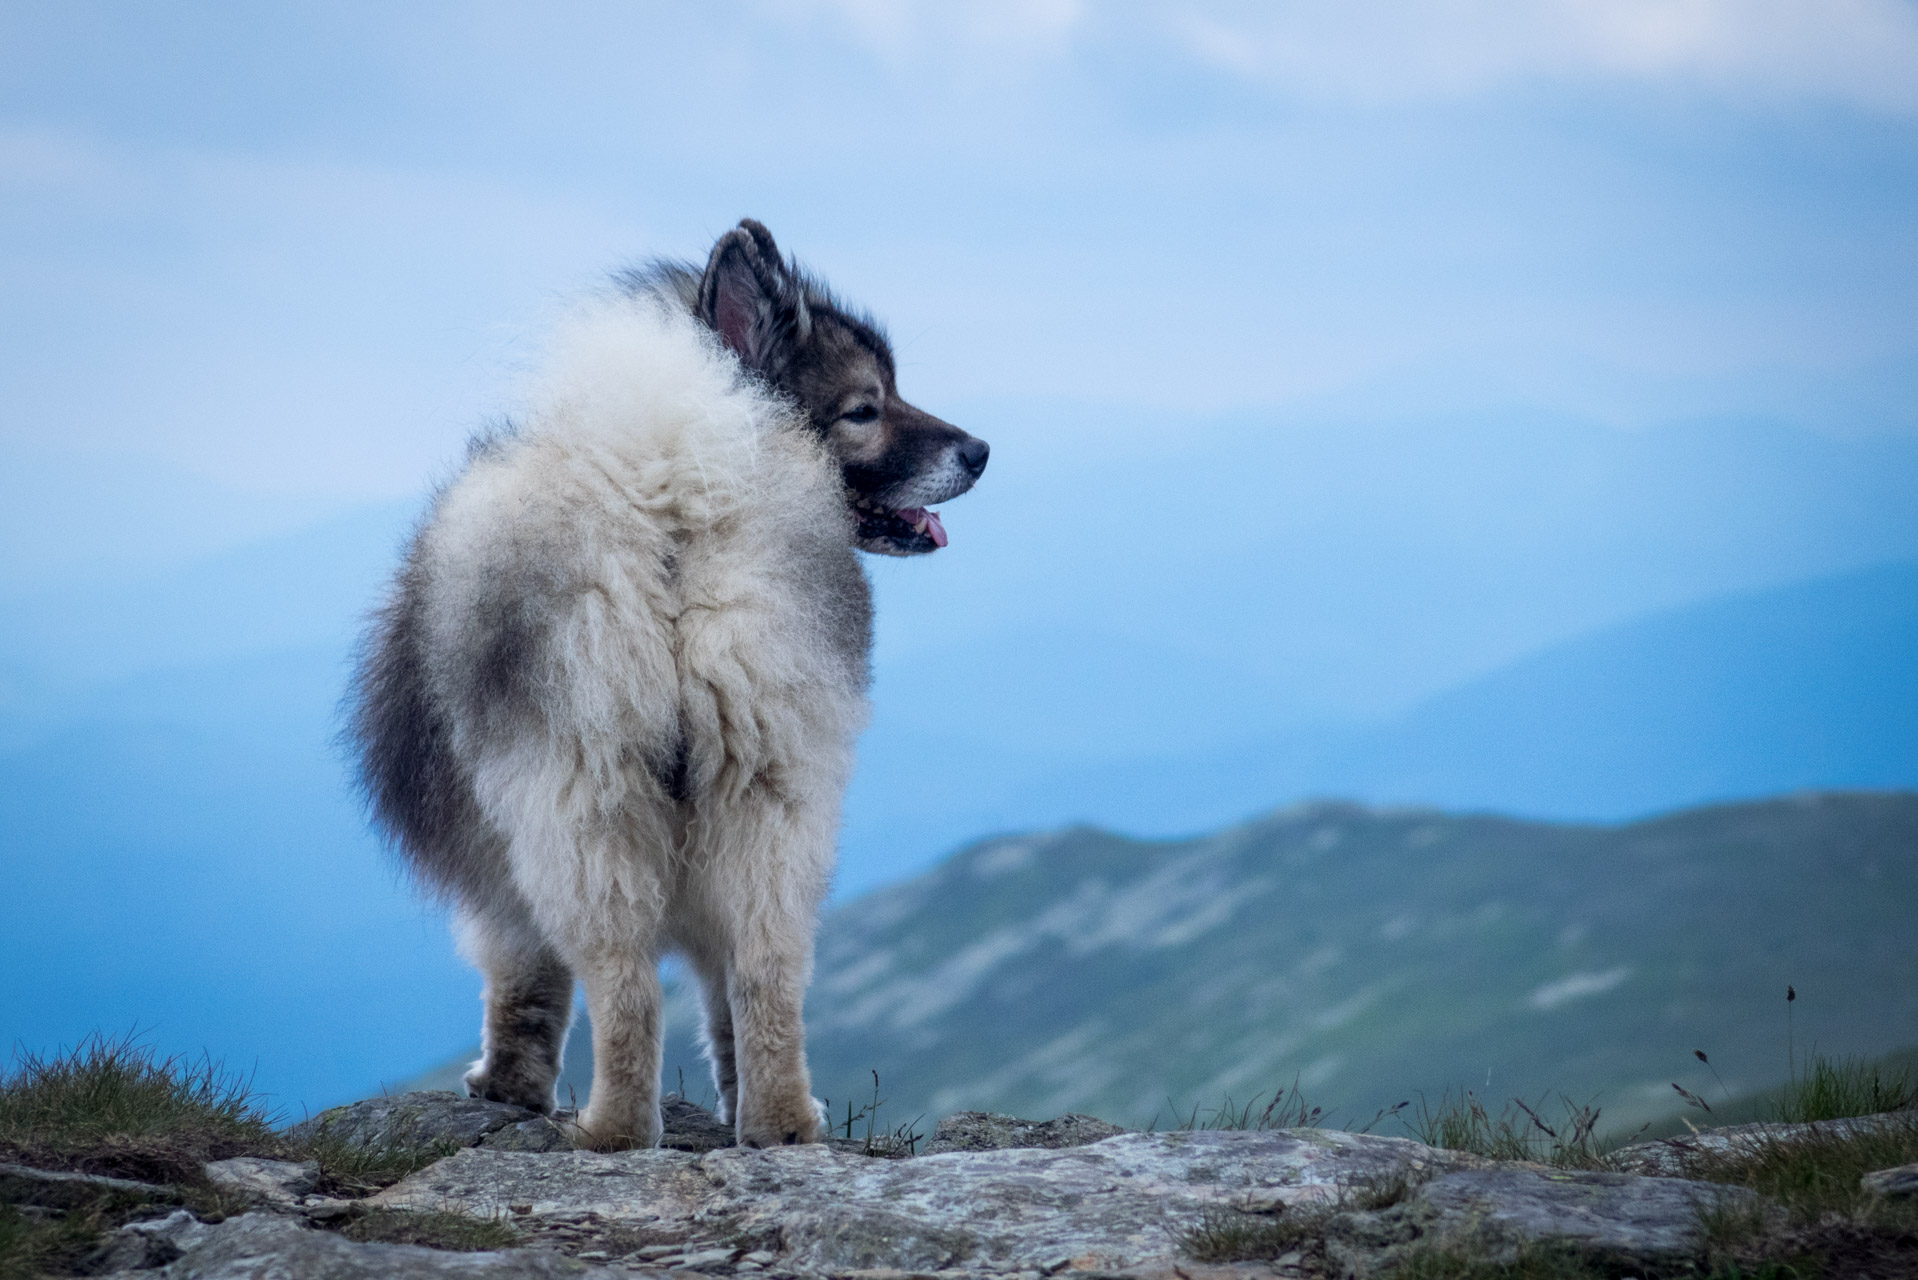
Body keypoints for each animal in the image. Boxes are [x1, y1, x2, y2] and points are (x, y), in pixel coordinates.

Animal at [349, 220, 989, 1151]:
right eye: (865, 408)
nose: (980, 451)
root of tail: (675, 499)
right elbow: (719, 995)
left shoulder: (500, 860)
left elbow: (523, 981)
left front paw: (506, 1087)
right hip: (770, 788)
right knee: (765, 970)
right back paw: (780, 1122)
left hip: (583, 794)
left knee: (624, 984)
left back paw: (610, 1130)